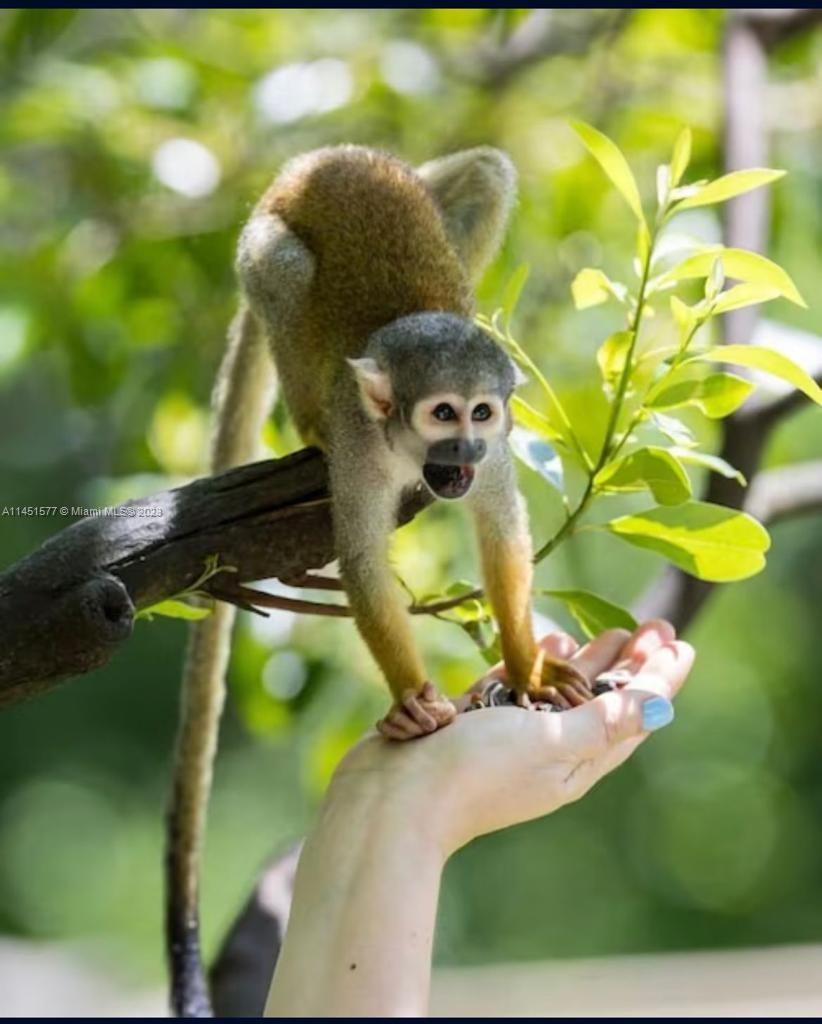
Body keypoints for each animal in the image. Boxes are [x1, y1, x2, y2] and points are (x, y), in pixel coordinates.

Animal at [165, 144, 592, 1017]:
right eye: (441, 414)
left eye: (480, 414)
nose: (461, 456)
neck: (403, 445)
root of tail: (306, 162)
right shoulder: (366, 443)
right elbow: (360, 561)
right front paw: (414, 702)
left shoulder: (501, 452)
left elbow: (502, 537)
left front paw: (527, 669)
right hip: (260, 251)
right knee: (285, 271)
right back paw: (306, 415)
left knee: (489, 172)